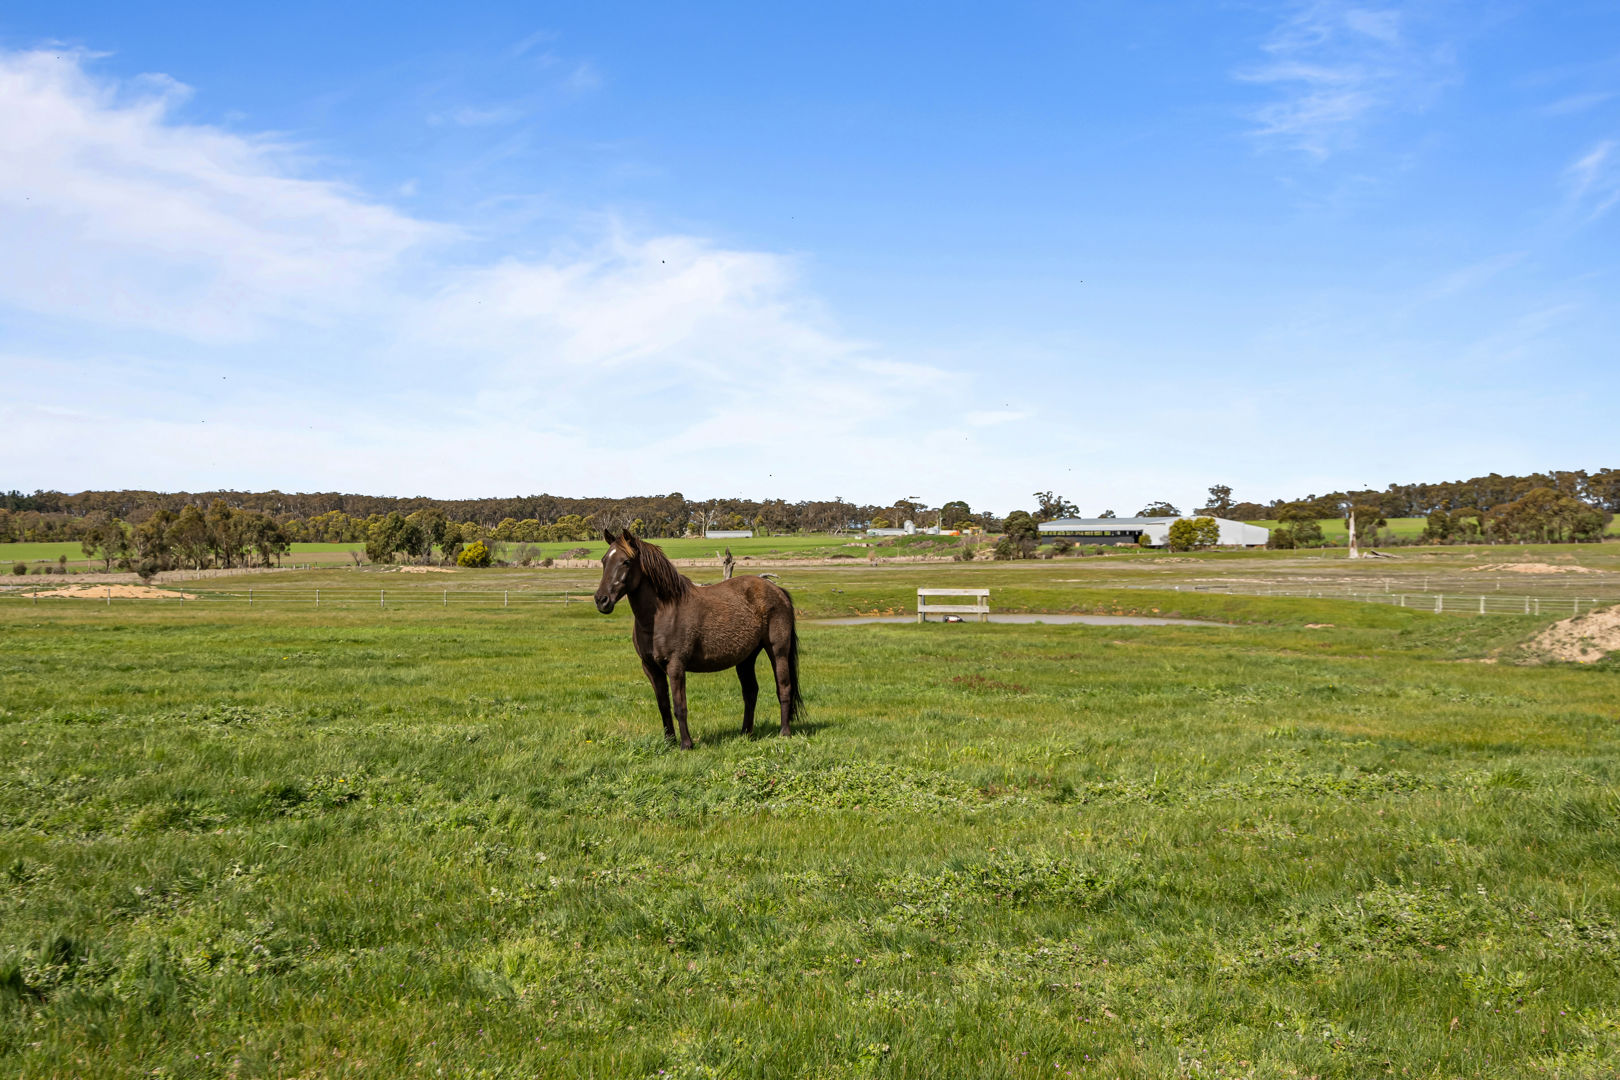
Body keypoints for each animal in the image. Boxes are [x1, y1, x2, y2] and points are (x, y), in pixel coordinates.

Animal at [593, 530, 803, 749]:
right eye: (604, 560)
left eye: (626, 561)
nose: (601, 600)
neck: (661, 614)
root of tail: (778, 591)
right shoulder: (650, 667)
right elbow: (663, 706)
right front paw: (669, 742)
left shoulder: (676, 666)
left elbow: (679, 707)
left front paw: (686, 744)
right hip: (746, 658)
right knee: (750, 692)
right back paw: (745, 733)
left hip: (778, 651)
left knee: (784, 688)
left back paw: (784, 732)